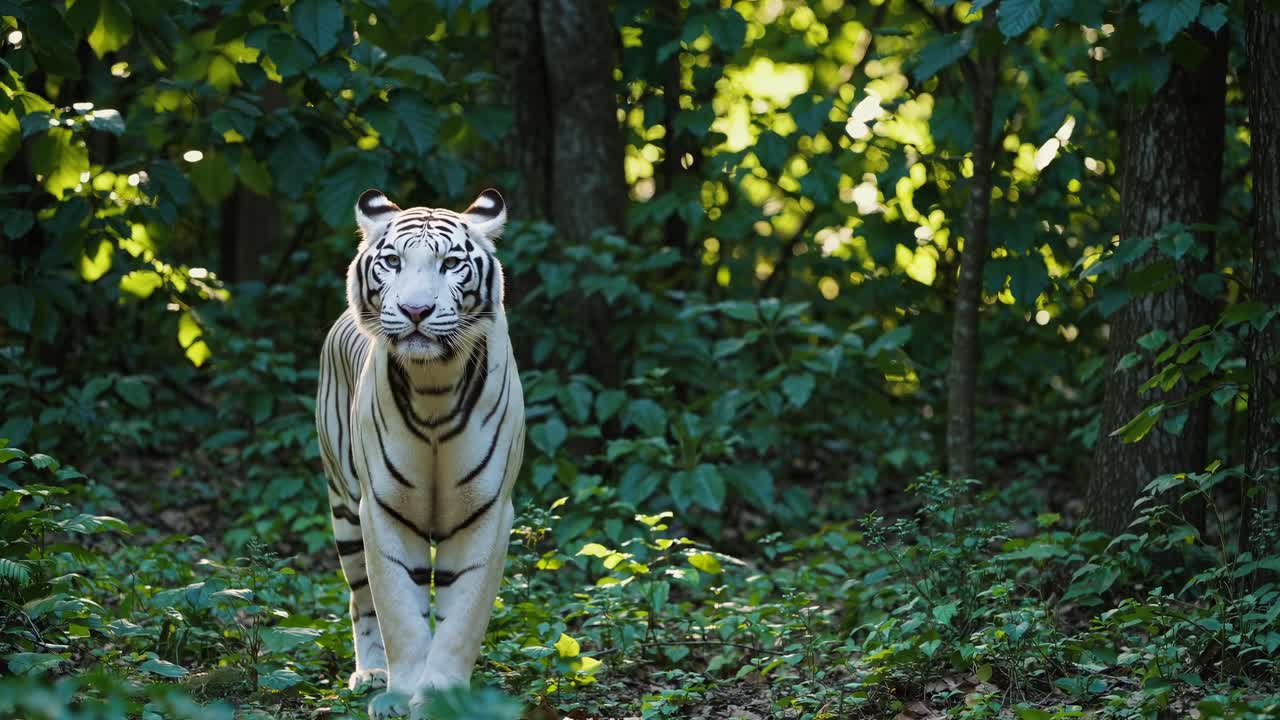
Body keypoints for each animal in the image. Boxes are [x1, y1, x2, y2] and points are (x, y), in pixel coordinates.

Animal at [315, 188, 525, 717]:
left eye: (451, 263)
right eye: (392, 261)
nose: (415, 311)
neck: (435, 385)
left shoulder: (486, 512)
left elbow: (461, 619)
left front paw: (440, 697)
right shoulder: (383, 509)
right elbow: (399, 613)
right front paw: (398, 694)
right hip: (343, 508)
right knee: (361, 599)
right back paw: (370, 673)